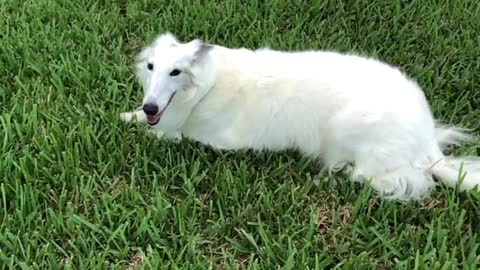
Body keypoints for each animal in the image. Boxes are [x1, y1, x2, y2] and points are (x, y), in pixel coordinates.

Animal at [121, 32, 480, 200]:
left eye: (176, 71)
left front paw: (135, 122)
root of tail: (427, 146)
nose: (151, 107)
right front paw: (129, 115)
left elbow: (164, 133)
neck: (208, 84)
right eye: (151, 67)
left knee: (371, 176)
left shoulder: (209, 137)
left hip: (347, 128)